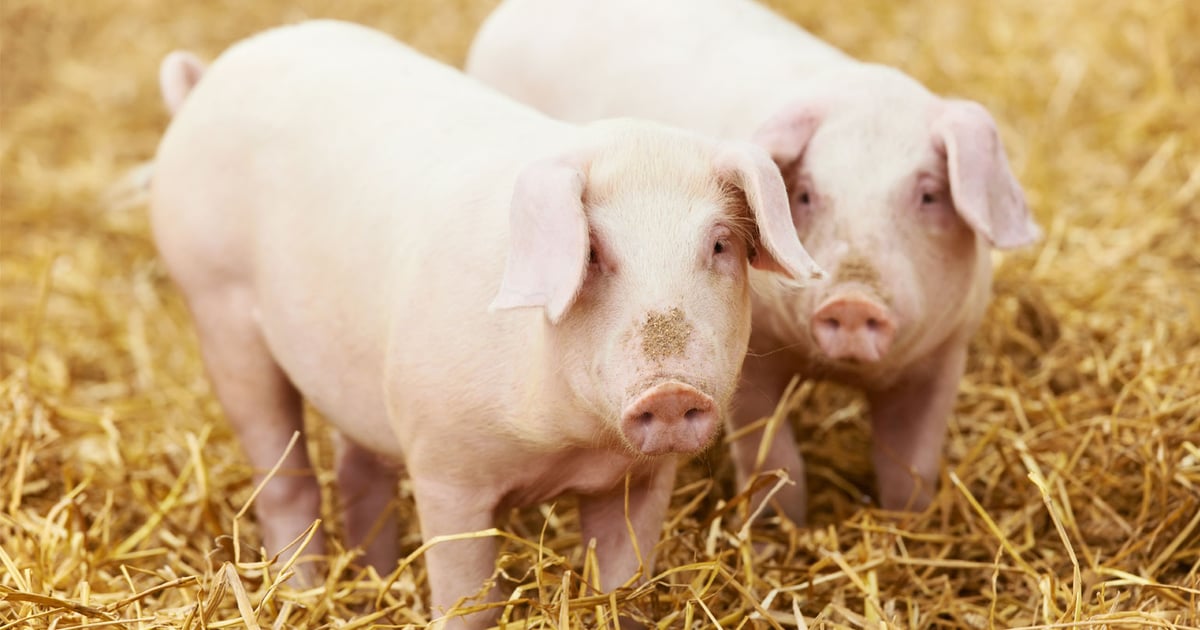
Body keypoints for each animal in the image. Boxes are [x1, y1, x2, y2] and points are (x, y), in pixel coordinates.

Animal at [150, 19, 822, 626]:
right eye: (593, 251)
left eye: (719, 245)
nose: (672, 391)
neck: (567, 444)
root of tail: (208, 78)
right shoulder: (445, 466)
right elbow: (469, 602)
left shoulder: (640, 479)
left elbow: (623, 588)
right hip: (217, 306)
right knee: (285, 480)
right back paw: (302, 591)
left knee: (357, 471)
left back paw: (371, 583)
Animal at [468, 0, 1041, 525]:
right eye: (805, 194)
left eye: (929, 194)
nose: (853, 301)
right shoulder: (752, 354)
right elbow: (772, 456)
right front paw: (777, 531)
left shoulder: (945, 355)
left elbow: (910, 467)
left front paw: (906, 526)